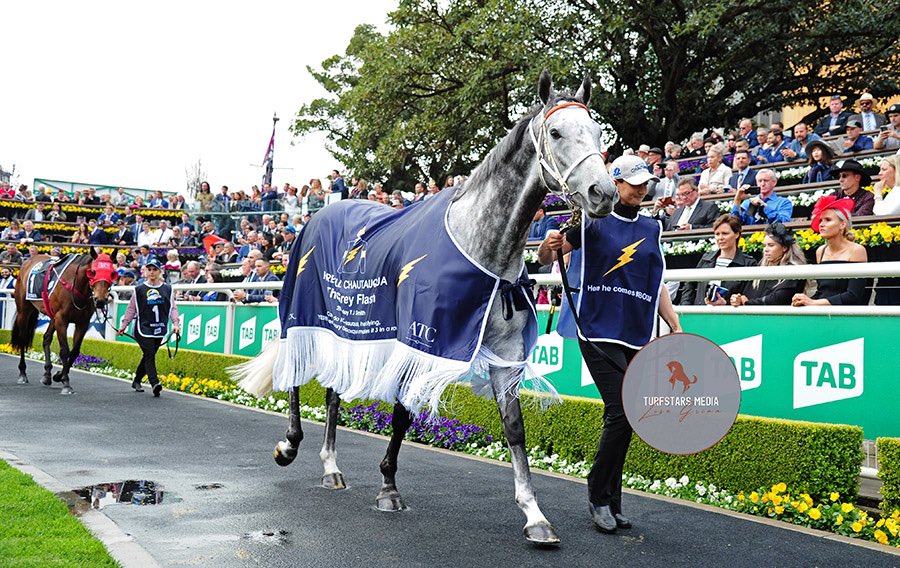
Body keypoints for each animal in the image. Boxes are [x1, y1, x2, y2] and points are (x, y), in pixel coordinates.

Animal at [11, 247, 116, 395]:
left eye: (112, 273)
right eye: (93, 272)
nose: (100, 300)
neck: (75, 284)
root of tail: (27, 261)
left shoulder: (82, 323)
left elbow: (74, 352)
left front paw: (58, 375)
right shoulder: (62, 320)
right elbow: (65, 351)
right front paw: (66, 383)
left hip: (52, 316)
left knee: (46, 338)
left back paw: (47, 375)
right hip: (24, 310)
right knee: (23, 338)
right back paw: (23, 373)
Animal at [232, 71, 618, 544]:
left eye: (598, 132)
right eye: (557, 132)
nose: (603, 193)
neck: (481, 248)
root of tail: (319, 215)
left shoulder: (505, 354)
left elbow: (514, 428)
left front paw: (535, 516)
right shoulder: (421, 339)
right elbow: (401, 414)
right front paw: (388, 489)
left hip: (347, 329)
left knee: (333, 392)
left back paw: (331, 467)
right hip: (303, 315)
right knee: (295, 375)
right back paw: (288, 445)